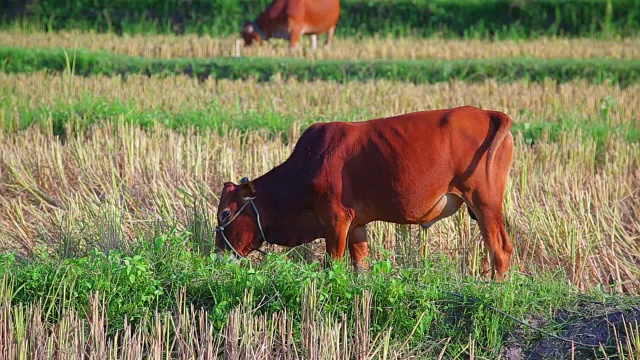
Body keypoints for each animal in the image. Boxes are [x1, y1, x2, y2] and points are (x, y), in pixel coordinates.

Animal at [215, 105, 516, 280]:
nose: (217, 256)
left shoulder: (335, 221)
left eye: (225, 214)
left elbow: (333, 264)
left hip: (484, 202)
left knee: (500, 250)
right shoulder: (356, 225)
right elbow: (361, 265)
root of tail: (488, 114)